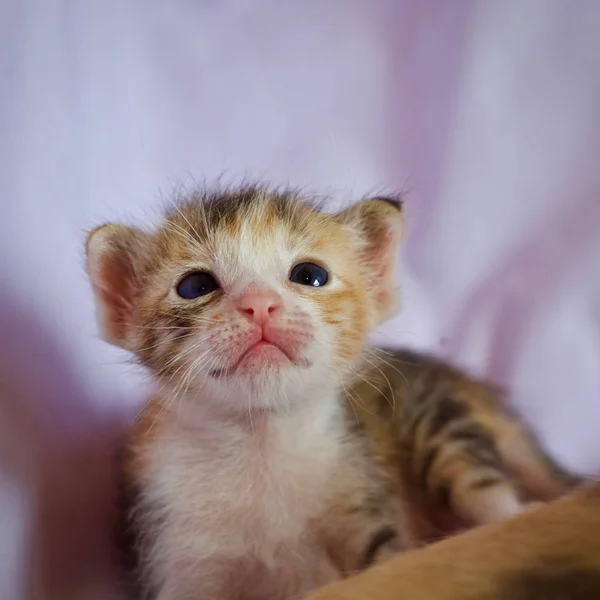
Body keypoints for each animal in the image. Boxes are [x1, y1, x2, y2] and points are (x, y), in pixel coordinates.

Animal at [84, 185, 576, 596]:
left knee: (486, 488)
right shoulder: (173, 546)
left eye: (310, 275)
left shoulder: (362, 501)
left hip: (438, 422)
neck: (261, 444)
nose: (259, 304)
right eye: (194, 286)